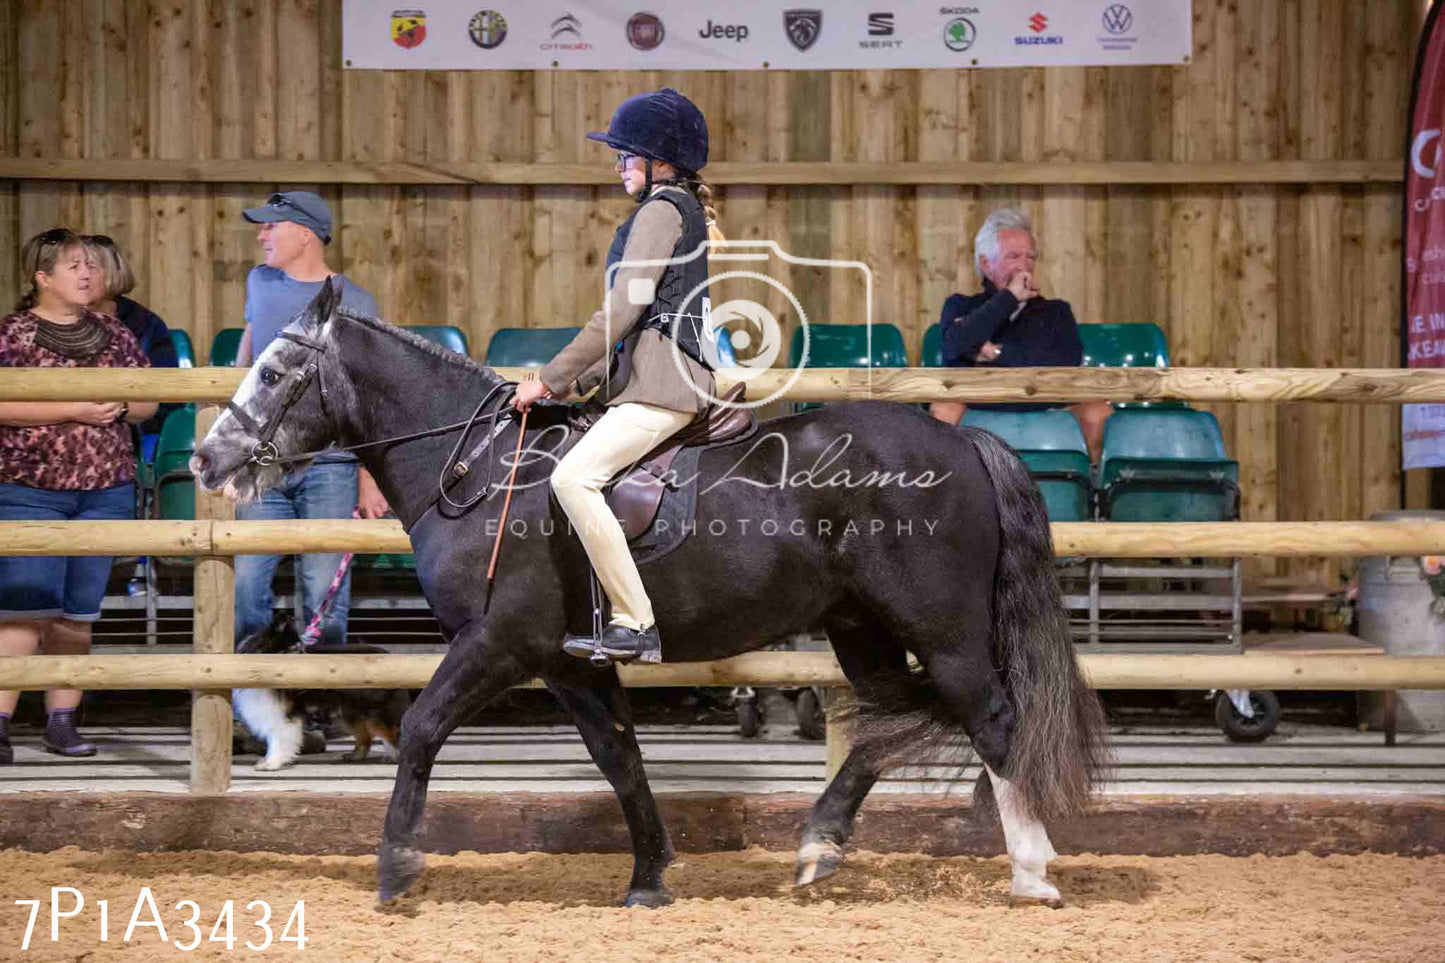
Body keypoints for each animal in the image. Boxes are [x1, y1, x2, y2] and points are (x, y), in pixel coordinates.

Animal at [234, 610, 410, 769]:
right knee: (365, 737)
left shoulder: (284, 714)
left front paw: (272, 763)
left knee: (392, 735)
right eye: (296, 649)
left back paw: (395, 758)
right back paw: (356, 756)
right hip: (351, 711)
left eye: (301, 648)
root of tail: (389, 655)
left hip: (375, 713)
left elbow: (279, 739)